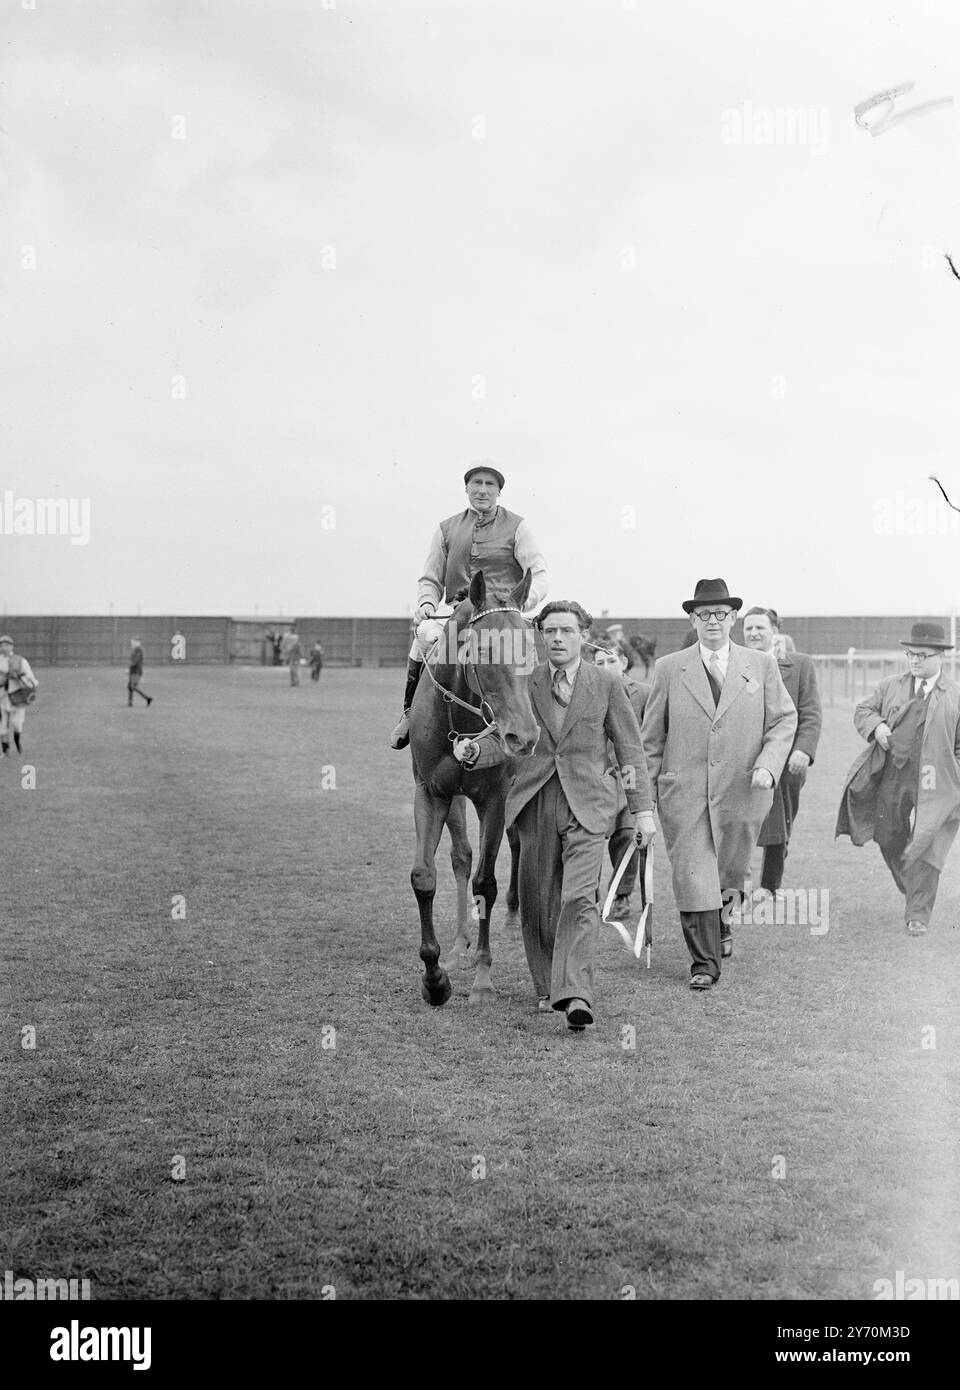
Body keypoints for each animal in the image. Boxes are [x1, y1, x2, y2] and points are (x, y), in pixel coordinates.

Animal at [408, 569, 541, 1006]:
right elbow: (426, 876)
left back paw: (514, 917)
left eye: (530, 650)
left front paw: (483, 978)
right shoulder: (432, 792)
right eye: (482, 649)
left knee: (518, 845)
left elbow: (486, 882)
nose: (523, 736)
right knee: (461, 857)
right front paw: (435, 978)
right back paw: (457, 948)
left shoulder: (495, 800)